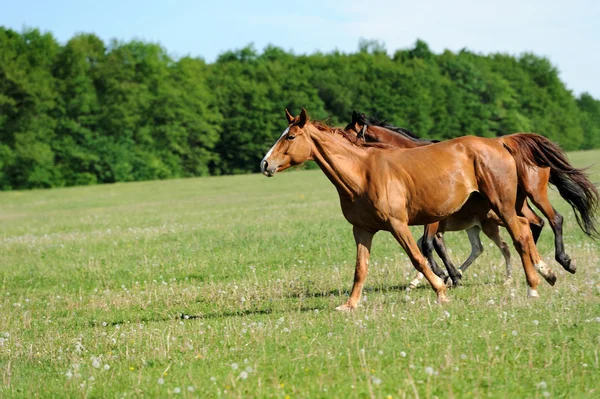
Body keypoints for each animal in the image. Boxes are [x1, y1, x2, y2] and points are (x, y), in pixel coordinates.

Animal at [260, 109, 564, 312]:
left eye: (290, 136)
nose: (264, 164)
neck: (362, 173)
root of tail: (499, 142)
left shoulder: (400, 224)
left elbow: (419, 256)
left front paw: (441, 289)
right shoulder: (363, 230)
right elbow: (361, 268)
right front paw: (349, 305)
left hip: (502, 205)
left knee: (524, 233)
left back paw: (534, 285)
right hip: (499, 209)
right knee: (526, 228)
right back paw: (547, 274)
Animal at [344, 111, 596, 290]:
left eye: (347, 133)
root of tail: (509, 142)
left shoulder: (434, 219)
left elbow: (428, 245)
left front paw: (446, 275)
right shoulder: (437, 220)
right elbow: (433, 245)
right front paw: (450, 275)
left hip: (532, 195)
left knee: (554, 219)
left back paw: (562, 261)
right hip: (516, 203)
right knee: (535, 224)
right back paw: (537, 265)